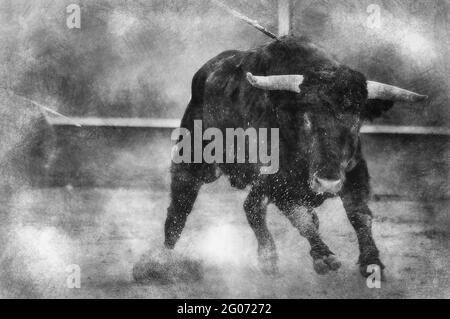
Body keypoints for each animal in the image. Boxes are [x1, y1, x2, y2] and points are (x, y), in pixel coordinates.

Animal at [163, 37, 426, 278]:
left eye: (356, 121)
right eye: (306, 118)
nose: (327, 182)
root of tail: (205, 73)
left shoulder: (354, 172)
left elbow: (360, 215)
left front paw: (372, 262)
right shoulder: (280, 184)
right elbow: (301, 218)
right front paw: (323, 256)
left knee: (252, 206)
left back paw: (268, 258)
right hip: (196, 162)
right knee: (181, 203)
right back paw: (164, 257)